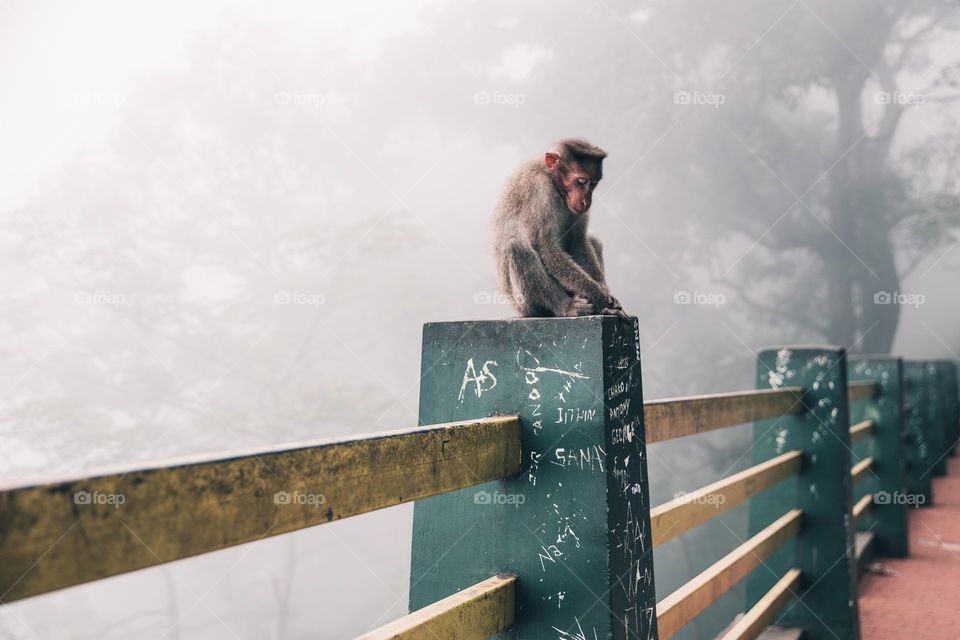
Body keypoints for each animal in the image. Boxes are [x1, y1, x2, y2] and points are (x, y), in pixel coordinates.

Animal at [493, 138, 628, 319]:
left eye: (593, 184)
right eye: (581, 182)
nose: (586, 201)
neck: (552, 180)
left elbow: (578, 241)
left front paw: (605, 296)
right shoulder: (540, 190)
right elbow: (545, 247)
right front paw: (601, 299)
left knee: (593, 239)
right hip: (523, 304)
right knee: (516, 246)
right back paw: (566, 307)